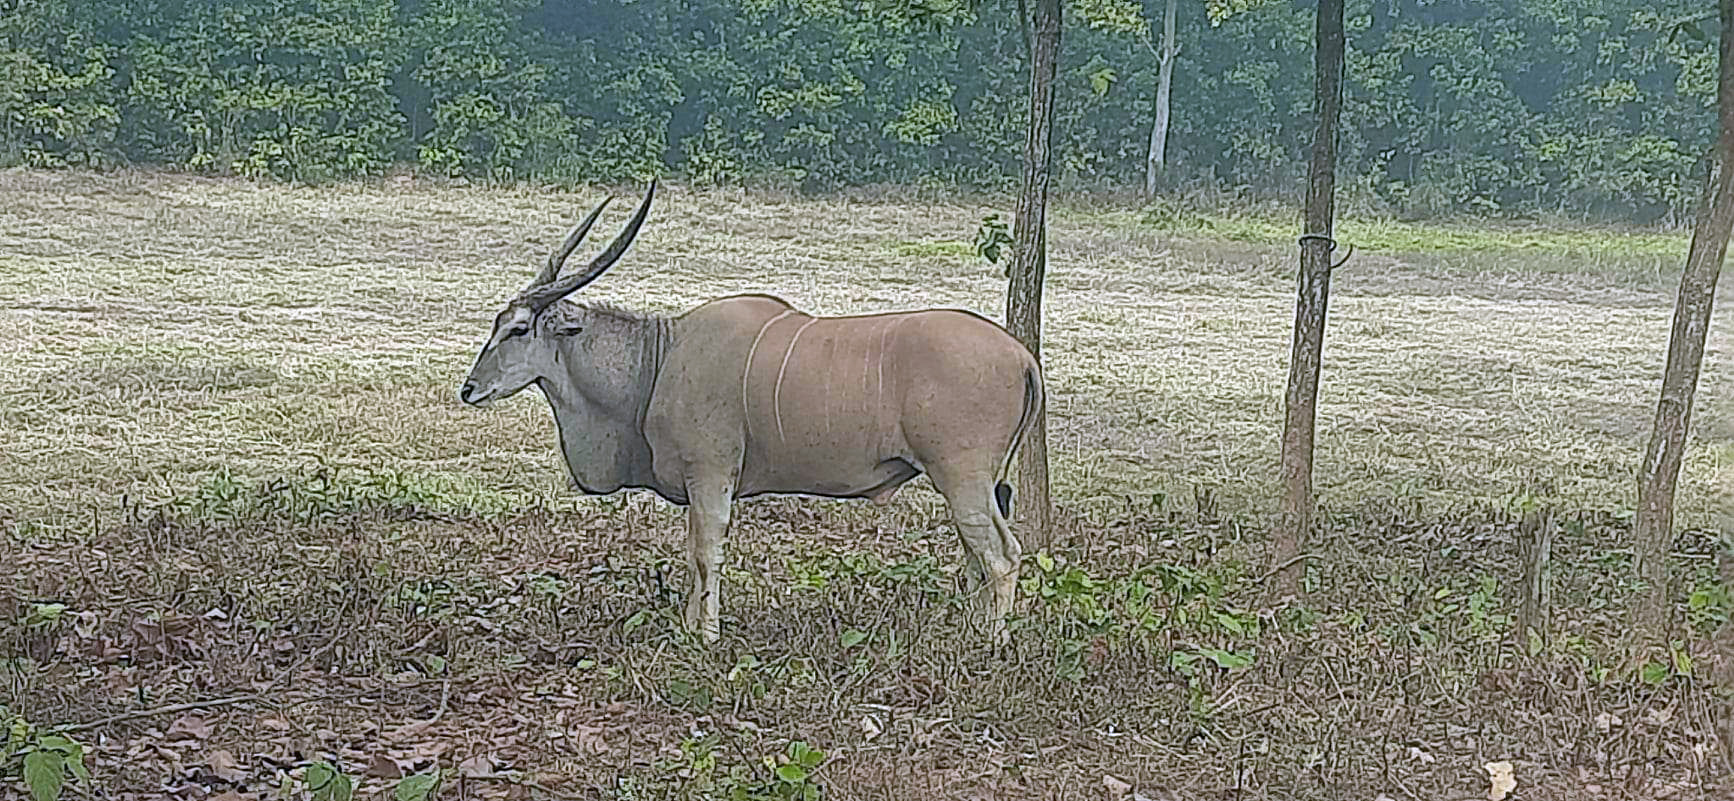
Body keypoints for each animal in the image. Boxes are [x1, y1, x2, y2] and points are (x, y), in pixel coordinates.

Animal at [454, 182, 1040, 644]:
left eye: (519, 328)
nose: (469, 389)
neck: (661, 357)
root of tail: (1021, 355)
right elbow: (695, 550)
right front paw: (690, 628)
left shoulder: (711, 474)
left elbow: (707, 551)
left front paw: (707, 636)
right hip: (970, 484)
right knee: (977, 555)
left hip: (961, 477)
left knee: (1002, 555)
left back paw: (989, 643)